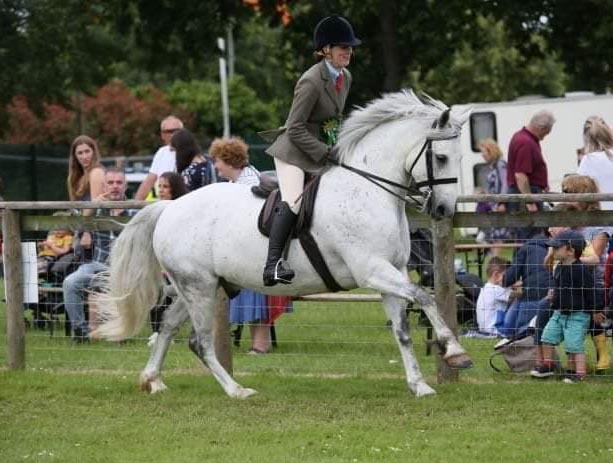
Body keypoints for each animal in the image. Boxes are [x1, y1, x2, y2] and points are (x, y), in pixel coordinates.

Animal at [94, 90, 468, 398]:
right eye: (442, 158)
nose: (443, 210)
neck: (367, 190)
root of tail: (170, 208)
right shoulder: (372, 270)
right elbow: (424, 296)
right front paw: (454, 352)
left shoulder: (391, 272)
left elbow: (402, 330)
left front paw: (419, 384)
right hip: (198, 286)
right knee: (199, 341)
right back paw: (236, 390)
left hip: (201, 286)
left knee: (170, 327)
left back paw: (153, 380)